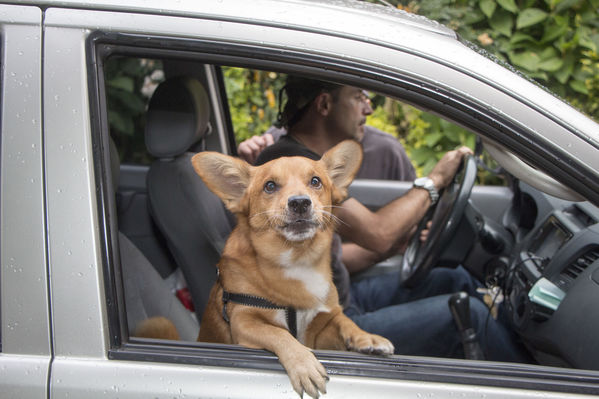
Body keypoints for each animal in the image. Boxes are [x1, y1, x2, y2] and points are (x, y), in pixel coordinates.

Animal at [192, 141, 396, 399]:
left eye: (316, 181)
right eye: (270, 186)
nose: (300, 202)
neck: (298, 260)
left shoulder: (322, 327)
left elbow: (343, 319)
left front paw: (366, 337)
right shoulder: (243, 322)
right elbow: (279, 334)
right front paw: (303, 364)